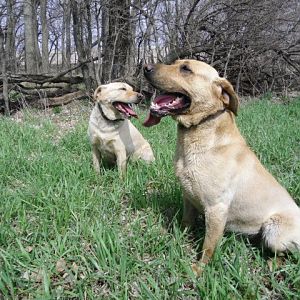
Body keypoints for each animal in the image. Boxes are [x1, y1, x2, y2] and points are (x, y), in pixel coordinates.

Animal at [143, 59, 300, 276]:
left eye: (186, 69)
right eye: (175, 63)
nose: (145, 68)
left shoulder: (216, 209)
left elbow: (208, 246)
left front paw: (198, 270)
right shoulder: (188, 198)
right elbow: (185, 223)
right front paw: (178, 241)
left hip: (274, 230)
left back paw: (273, 264)